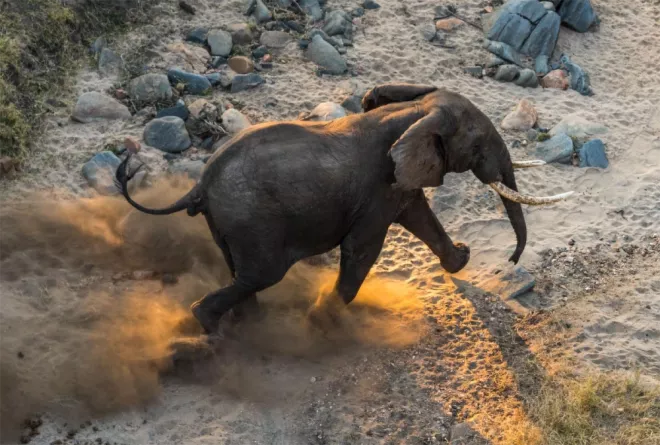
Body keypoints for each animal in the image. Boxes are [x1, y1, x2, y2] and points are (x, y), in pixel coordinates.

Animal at [115, 82, 573, 334]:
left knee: (242, 274)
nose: (511, 261)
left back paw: (250, 325)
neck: (416, 110)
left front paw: (460, 259)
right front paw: (323, 322)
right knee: (263, 274)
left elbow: (420, 216)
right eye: (478, 146)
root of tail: (199, 187)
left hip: (230, 226)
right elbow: (363, 250)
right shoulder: (377, 189)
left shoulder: (396, 184)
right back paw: (215, 330)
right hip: (252, 223)